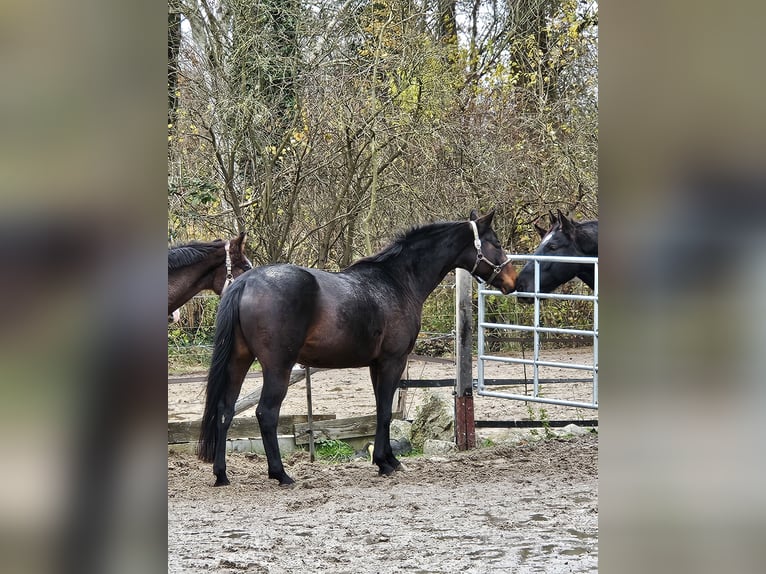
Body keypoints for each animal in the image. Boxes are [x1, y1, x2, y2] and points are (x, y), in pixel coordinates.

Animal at [201, 210, 520, 486]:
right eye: (496, 243)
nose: (512, 281)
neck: (397, 281)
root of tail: (245, 282)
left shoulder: (375, 364)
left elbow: (381, 409)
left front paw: (386, 459)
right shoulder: (393, 360)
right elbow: (386, 411)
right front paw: (386, 462)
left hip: (239, 360)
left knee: (225, 410)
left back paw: (221, 474)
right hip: (277, 367)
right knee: (266, 414)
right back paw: (281, 474)